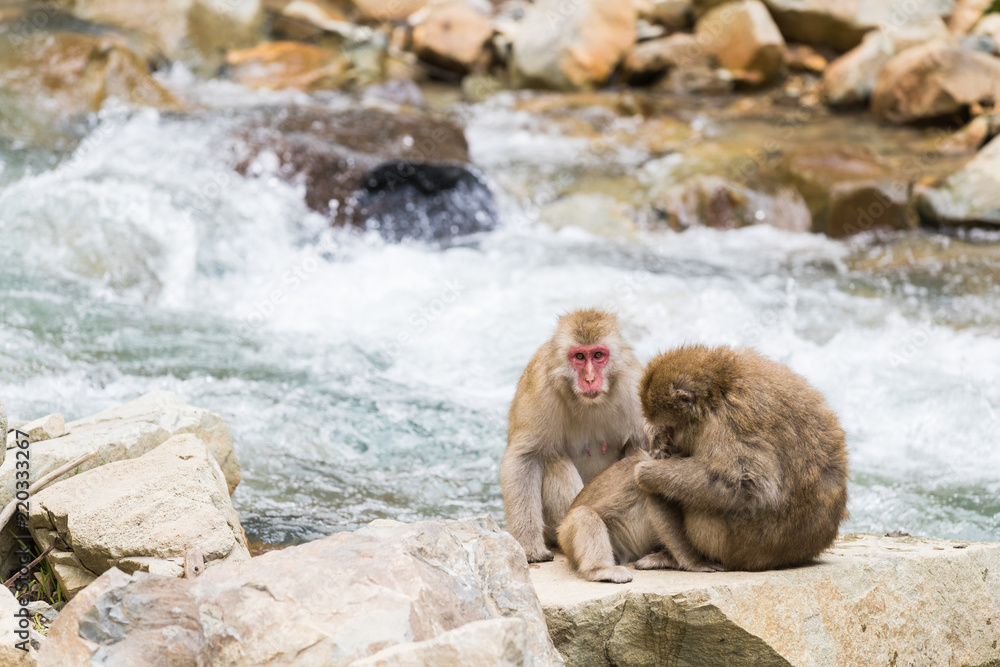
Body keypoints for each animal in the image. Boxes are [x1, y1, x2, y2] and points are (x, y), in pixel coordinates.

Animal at [500, 310, 648, 564]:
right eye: (579, 356)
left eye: (598, 355)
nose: (589, 379)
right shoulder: (540, 388)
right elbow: (526, 457)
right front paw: (529, 546)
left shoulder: (635, 389)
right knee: (554, 460)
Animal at [556, 426, 720, 580]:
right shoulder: (652, 474)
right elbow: (660, 509)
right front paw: (695, 562)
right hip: (565, 536)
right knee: (584, 513)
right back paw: (600, 569)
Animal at [636, 348, 848, 572]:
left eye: (671, 429)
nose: (669, 439)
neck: (717, 389)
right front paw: (654, 437)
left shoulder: (728, 420)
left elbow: (748, 482)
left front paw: (646, 472)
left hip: (734, 547)